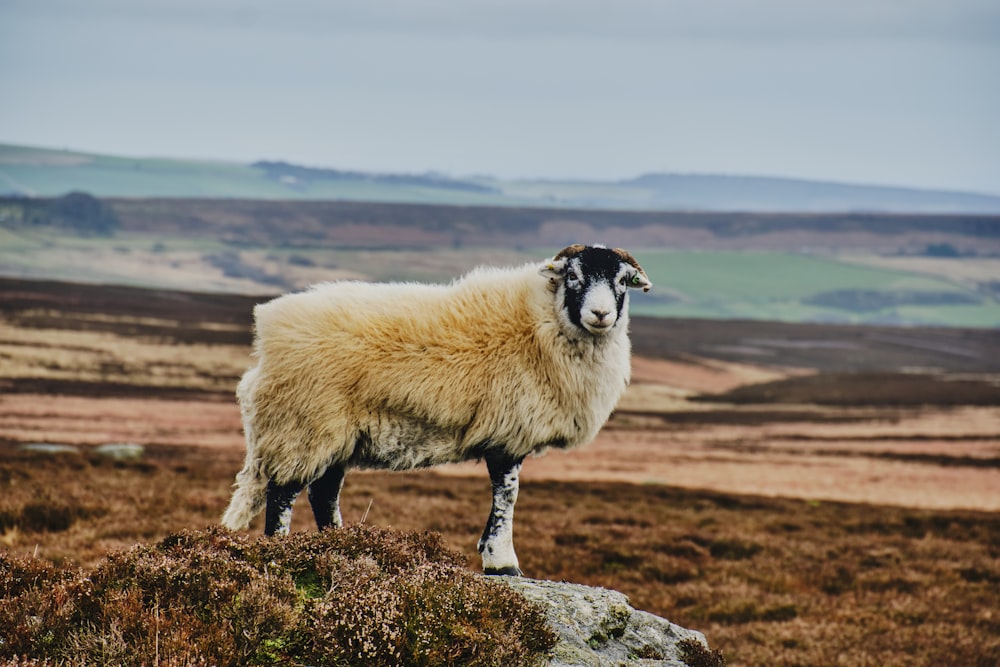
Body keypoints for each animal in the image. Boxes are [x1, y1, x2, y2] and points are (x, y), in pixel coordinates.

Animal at [223, 243, 652, 576]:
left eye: (621, 281)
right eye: (574, 276)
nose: (601, 315)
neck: (541, 324)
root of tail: (268, 333)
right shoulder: (509, 433)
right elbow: (507, 496)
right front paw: (503, 562)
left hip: (335, 434)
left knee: (323, 492)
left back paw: (341, 547)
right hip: (302, 425)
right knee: (283, 493)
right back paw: (280, 554)